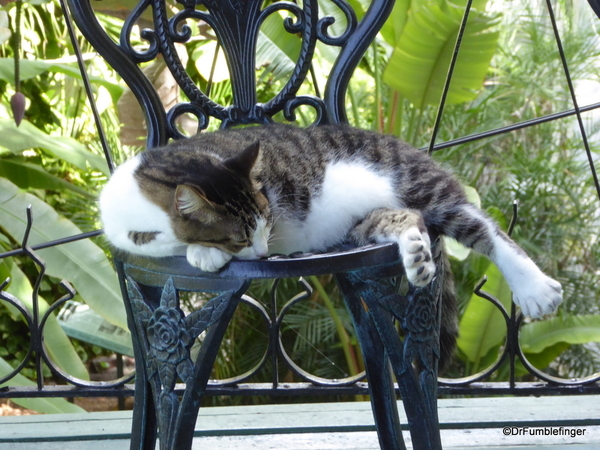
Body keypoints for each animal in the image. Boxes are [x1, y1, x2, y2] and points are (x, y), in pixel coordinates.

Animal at [99, 123, 564, 366]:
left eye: (266, 223)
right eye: (242, 236)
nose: (264, 253)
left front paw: (201, 250)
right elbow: (157, 245)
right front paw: (195, 248)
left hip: (420, 184)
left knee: (484, 228)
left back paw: (534, 287)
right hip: (366, 222)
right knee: (407, 219)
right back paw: (415, 253)